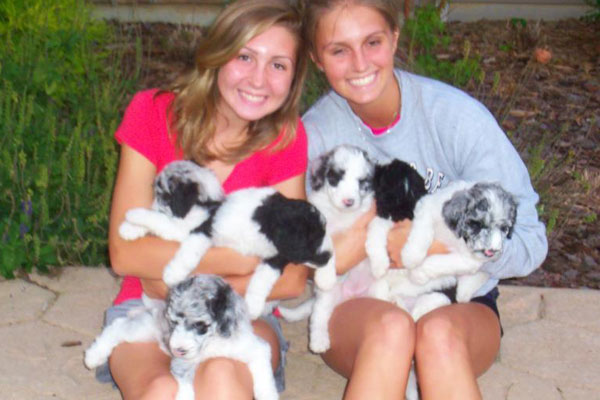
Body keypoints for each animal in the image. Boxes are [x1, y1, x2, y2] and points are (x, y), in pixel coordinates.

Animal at [85, 276, 278, 400]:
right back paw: (93, 356)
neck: (212, 343)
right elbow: (185, 384)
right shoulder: (182, 363)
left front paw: (267, 394)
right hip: (142, 330)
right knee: (117, 326)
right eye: (173, 322)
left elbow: (264, 375)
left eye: (200, 324)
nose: (178, 350)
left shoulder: (256, 347)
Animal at [120, 159, 340, 318]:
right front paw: (128, 227)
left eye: (163, 196)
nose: (326, 255)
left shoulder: (276, 256)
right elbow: (160, 223)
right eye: (311, 240)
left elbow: (263, 278)